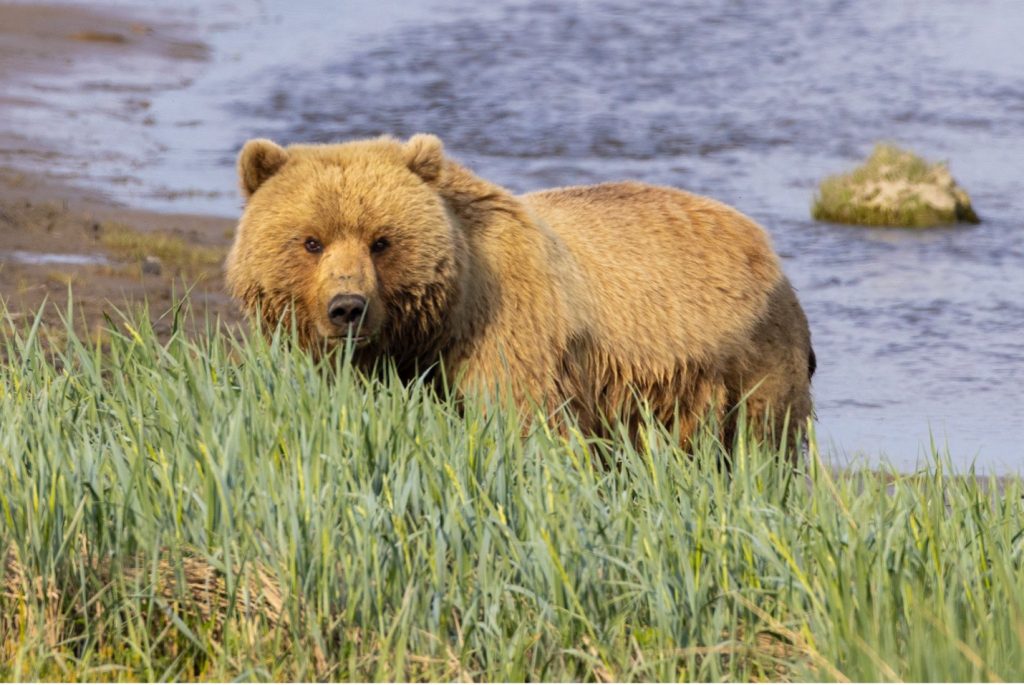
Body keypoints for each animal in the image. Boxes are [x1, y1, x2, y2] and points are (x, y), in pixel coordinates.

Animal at [226, 135, 815, 448]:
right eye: (311, 241)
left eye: (382, 241)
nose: (348, 307)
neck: (441, 320)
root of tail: (767, 247)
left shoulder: (512, 336)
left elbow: (525, 427)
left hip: (746, 362)